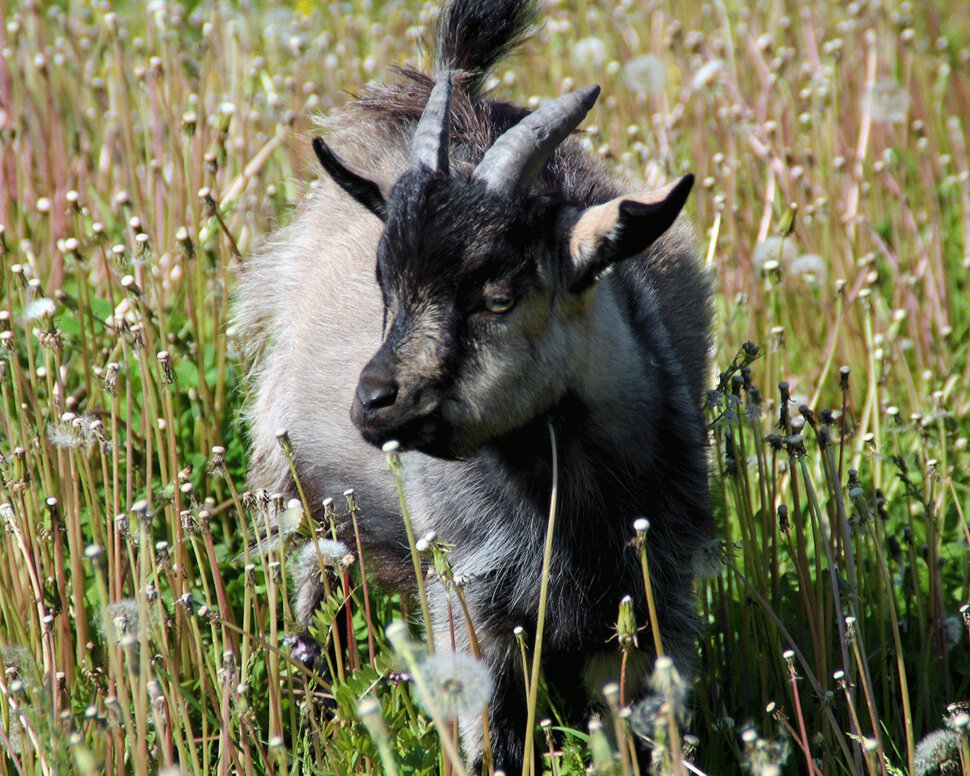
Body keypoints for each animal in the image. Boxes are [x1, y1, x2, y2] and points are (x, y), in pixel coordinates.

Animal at [236, 1, 712, 768]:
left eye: (497, 295)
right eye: (384, 284)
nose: (373, 402)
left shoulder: (649, 604)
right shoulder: (468, 602)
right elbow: (491, 743)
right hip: (299, 492)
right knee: (314, 597)